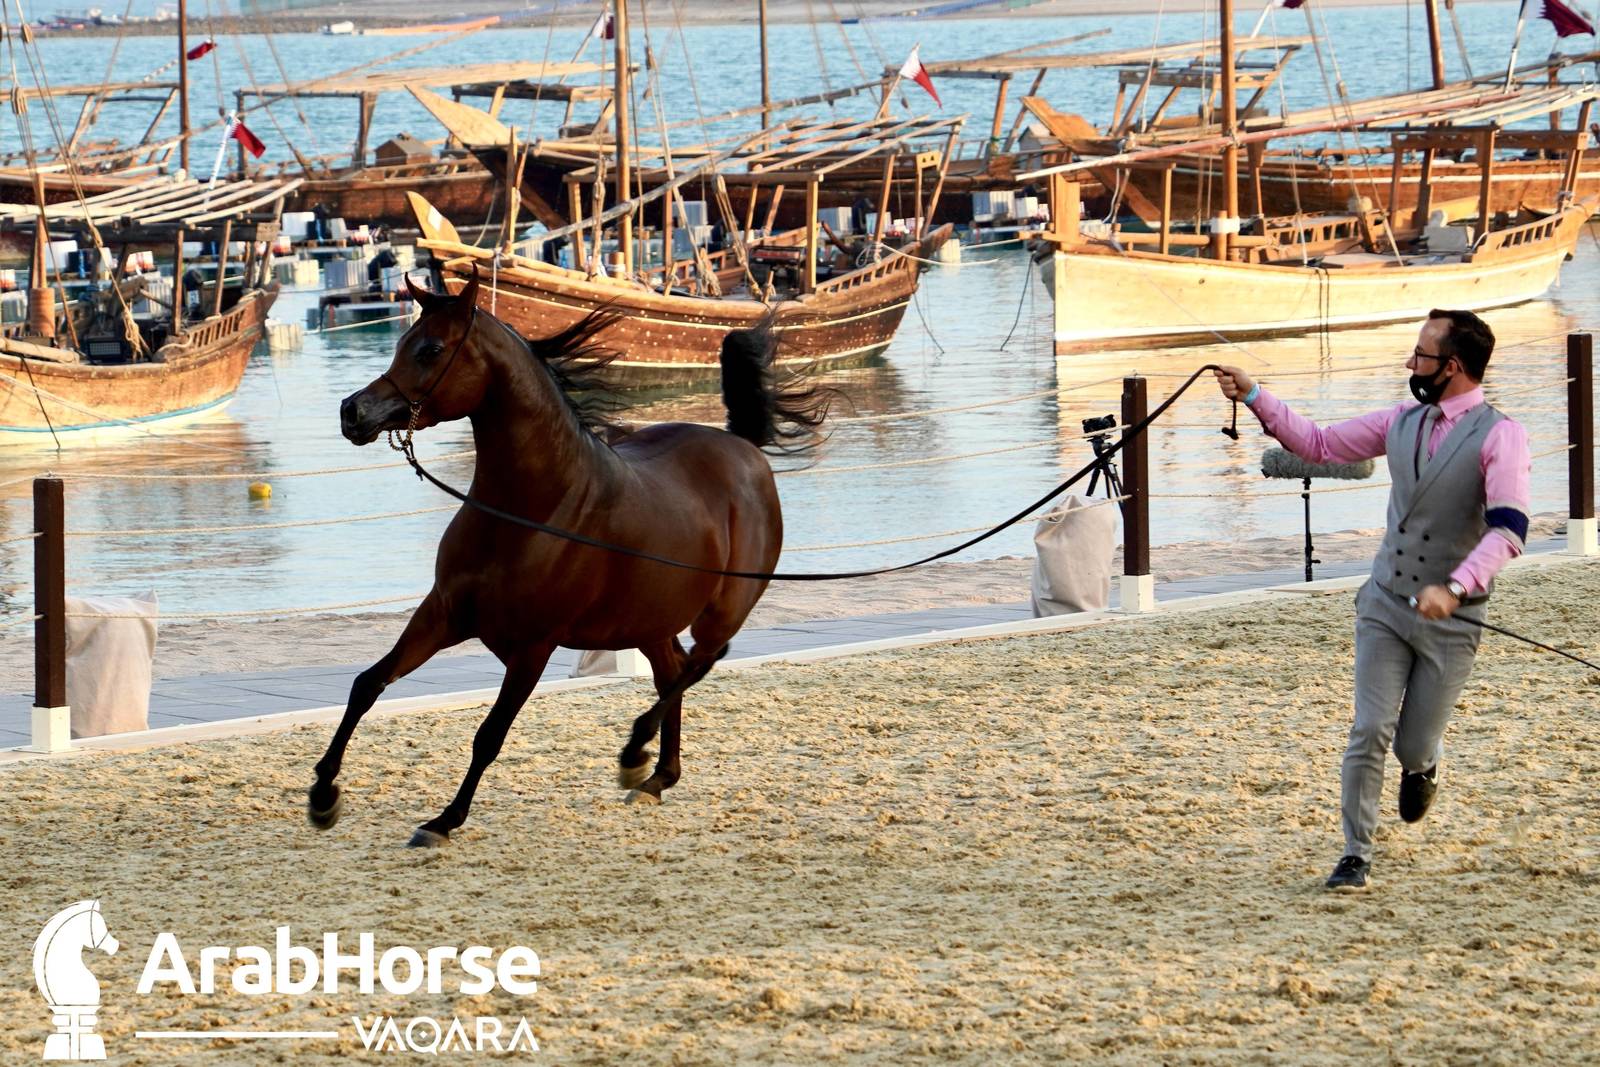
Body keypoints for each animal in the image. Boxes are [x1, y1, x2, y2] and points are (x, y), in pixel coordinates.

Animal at [312, 270, 827, 847]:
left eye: (429, 349)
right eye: (400, 342)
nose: (352, 412)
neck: (528, 511)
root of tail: (743, 449)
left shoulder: (533, 646)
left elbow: (489, 736)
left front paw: (443, 822)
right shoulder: (442, 615)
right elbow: (366, 685)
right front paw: (323, 796)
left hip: (722, 609)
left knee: (701, 662)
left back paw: (635, 751)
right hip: (649, 622)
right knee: (672, 671)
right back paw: (655, 776)